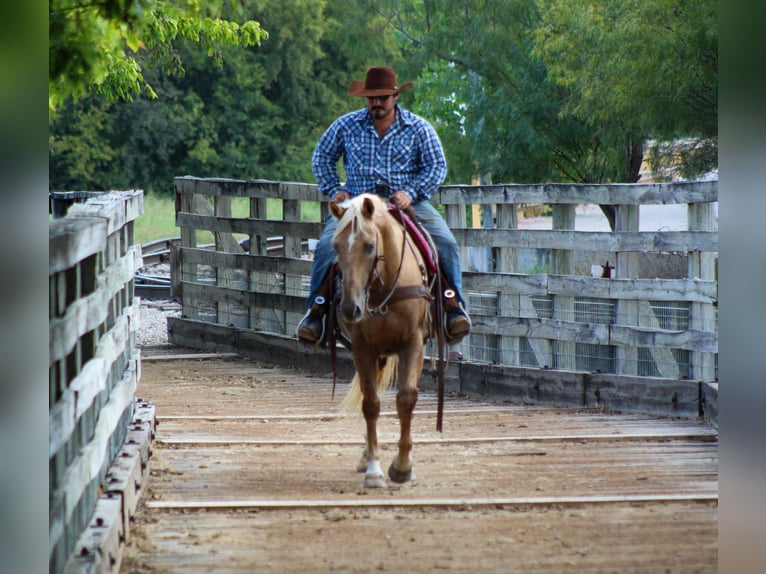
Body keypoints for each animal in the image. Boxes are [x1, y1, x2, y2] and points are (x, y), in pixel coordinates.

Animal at [329, 193, 438, 489]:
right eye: (336, 246)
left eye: (369, 246)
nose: (349, 308)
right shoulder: (363, 347)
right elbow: (371, 404)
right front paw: (374, 470)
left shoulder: (413, 343)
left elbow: (406, 399)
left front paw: (402, 467)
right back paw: (366, 455)